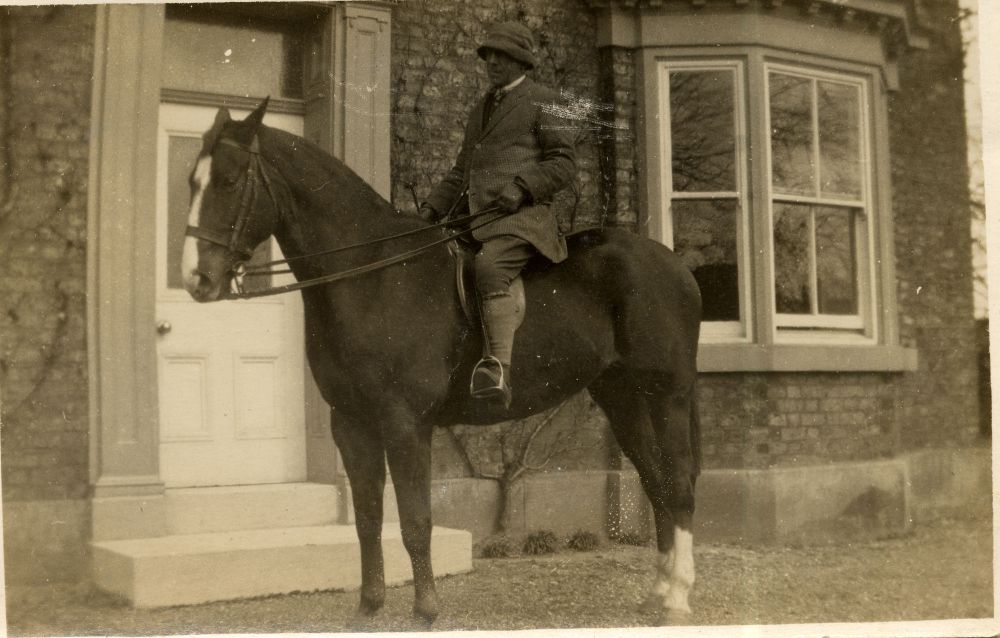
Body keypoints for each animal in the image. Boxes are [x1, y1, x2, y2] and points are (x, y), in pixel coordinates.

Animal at [182, 100, 704, 624]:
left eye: (228, 180)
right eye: (192, 181)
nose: (195, 279)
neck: (373, 277)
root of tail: (675, 265)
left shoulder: (405, 423)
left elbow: (415, 520)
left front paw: (425, 611)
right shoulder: (350, 422)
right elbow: (368, 519)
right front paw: (369, 608)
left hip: (669, 395)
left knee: (678, 481)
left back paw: (679, 595)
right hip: (623, 398)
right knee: (656, 480)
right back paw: (658, 593)